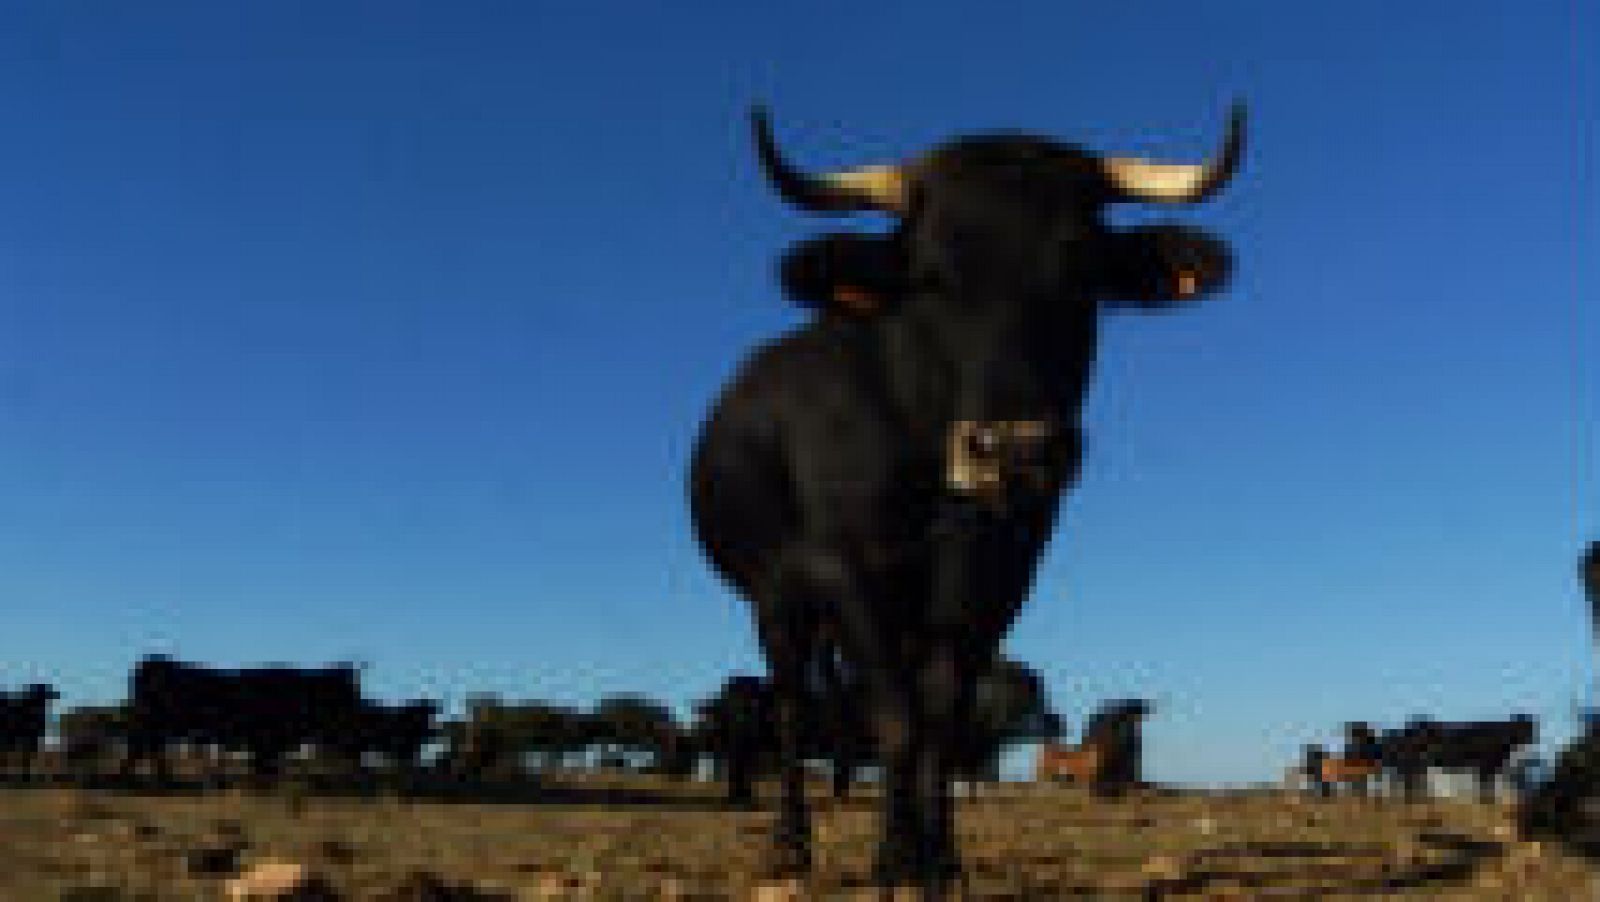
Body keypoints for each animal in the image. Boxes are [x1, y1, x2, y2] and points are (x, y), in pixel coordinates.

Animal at [690, 101, 1243, 890]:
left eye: (1083, 269)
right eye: (930, 276)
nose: (1017, 450)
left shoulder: (1004, 569)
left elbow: (944, 717)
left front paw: (940, 859)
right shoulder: (847, 565)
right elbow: (893, 714)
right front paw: (894, 860)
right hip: (776, 597)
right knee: (794, 706)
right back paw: (791, 846)